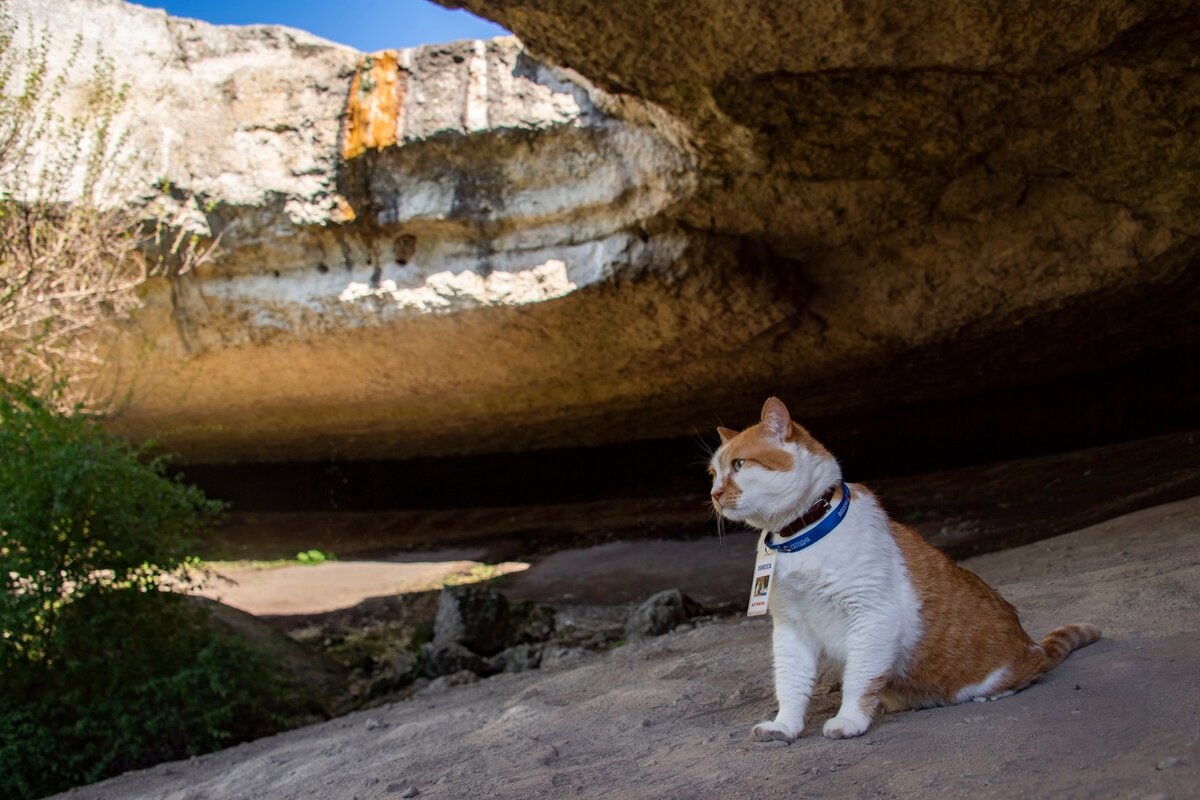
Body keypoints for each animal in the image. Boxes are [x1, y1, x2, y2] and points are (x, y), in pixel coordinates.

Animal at [705, 398, 1099, 743]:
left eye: (739, 465)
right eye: (713, 473)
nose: (714, 493)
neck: (800, 536)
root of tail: (1032, 645)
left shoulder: (872, 616)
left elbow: (860, 679)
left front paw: (849, 720)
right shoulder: (791, 629)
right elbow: (790, 683)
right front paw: (785, 726)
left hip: (1003, 672)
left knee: (1027, 676)